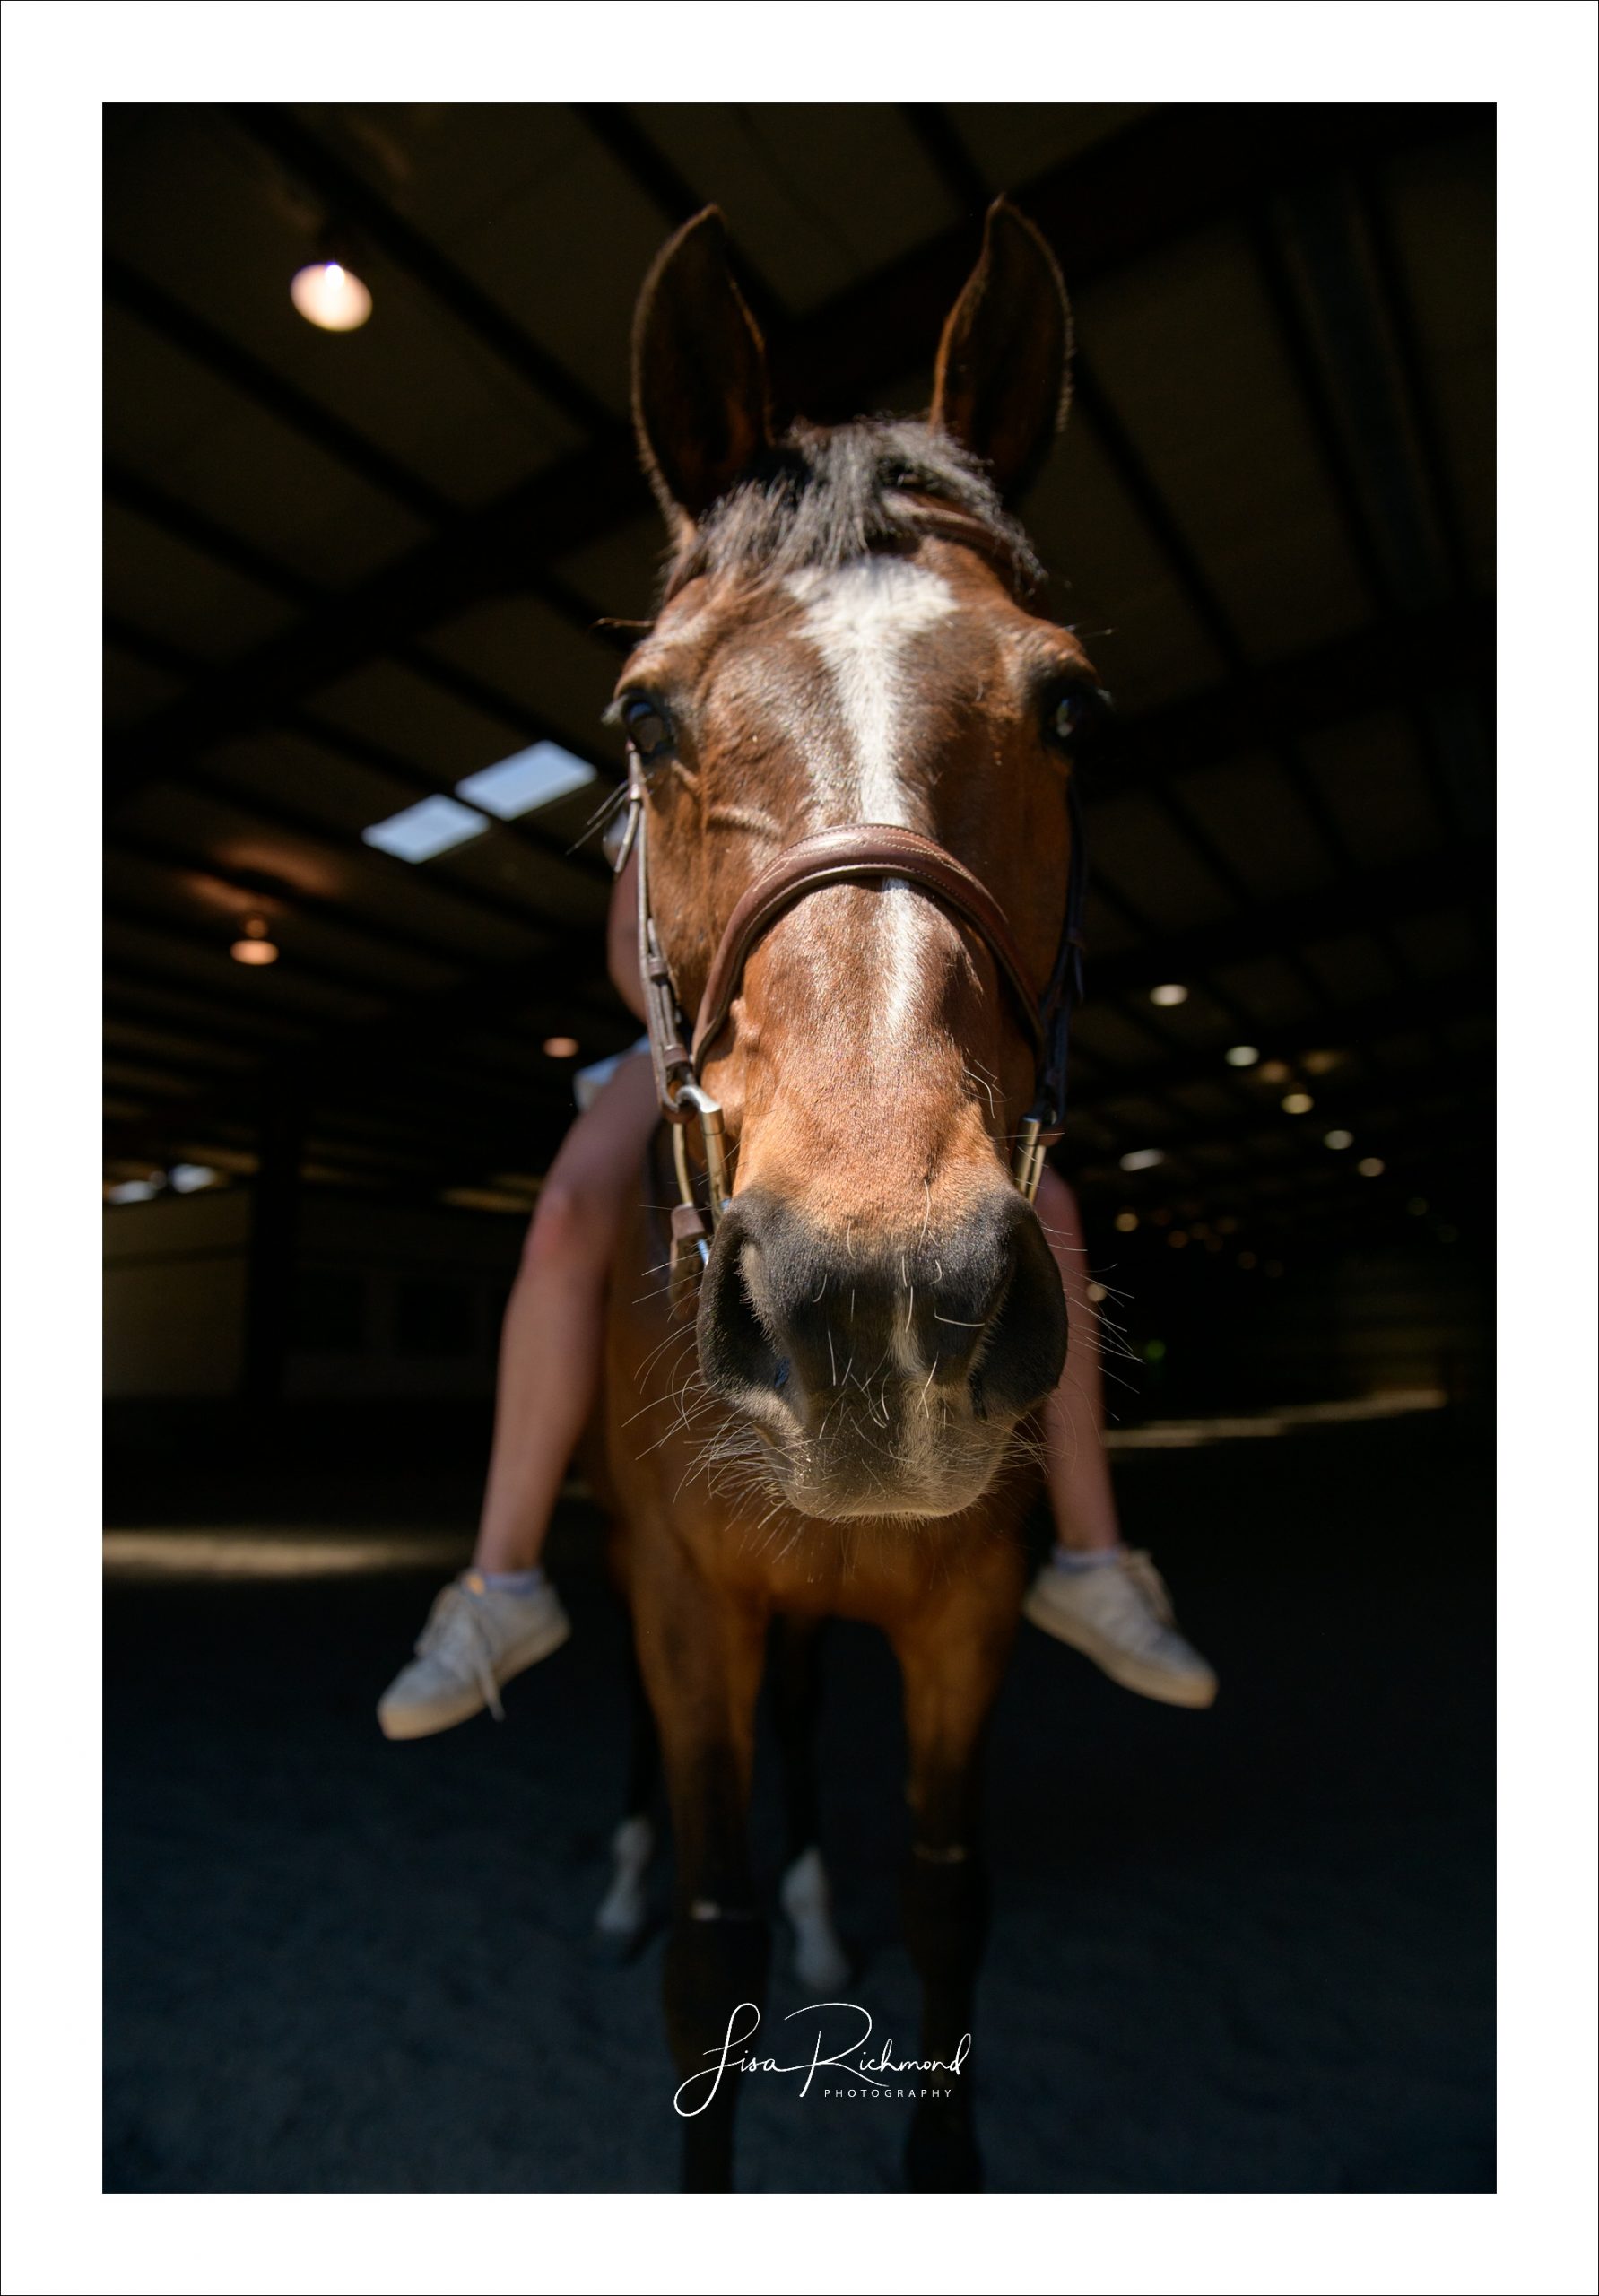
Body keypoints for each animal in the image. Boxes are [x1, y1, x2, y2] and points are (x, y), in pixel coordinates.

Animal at [587, 202, 1098, 2186]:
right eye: (647, 715)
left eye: (1067, 706)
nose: (878, 1301)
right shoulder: (684, 1603)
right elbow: (708, 1952)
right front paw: (691, 1904)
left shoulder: (958, 1620)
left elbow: (951, 1905)